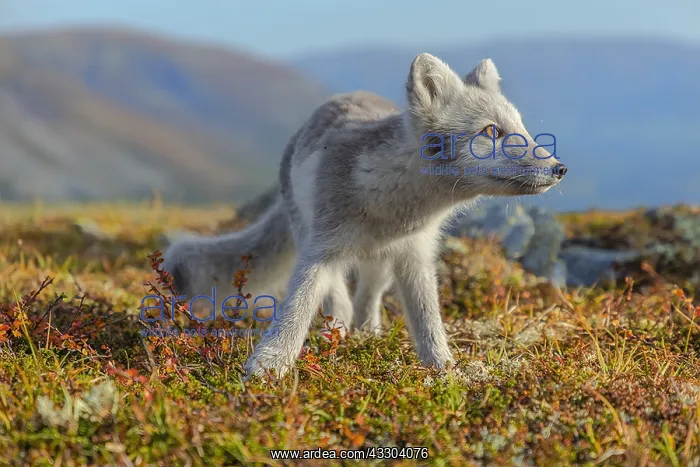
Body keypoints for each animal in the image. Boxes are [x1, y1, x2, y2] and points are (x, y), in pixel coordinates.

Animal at [161, 53, 567, 378]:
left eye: (523, 129)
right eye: (492, 131)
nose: (560, 168)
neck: (390, 209)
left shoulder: (416, 254)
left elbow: (428, 321)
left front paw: (443, 369)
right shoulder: (321, 251)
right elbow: (296, 310)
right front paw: (269, 365)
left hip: (383, 264)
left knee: (368, 296)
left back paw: (367, 333)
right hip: (311, 237)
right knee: (338, 298)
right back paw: (337, 335)